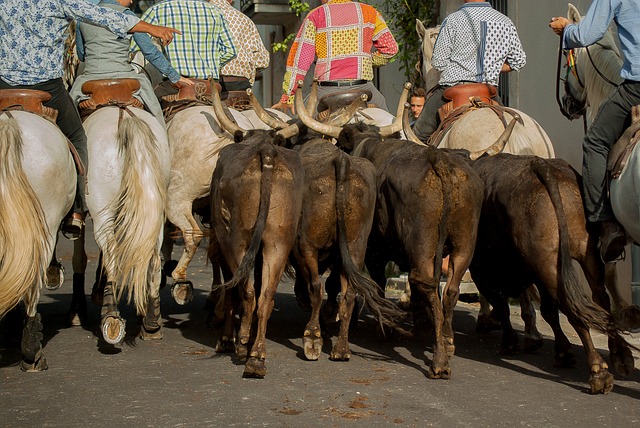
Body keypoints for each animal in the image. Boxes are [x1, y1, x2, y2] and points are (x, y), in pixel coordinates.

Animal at [84, 106, 170, 344]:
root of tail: (124, 118)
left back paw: (110, 315)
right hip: (155, 213)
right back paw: (151, 322)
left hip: (101, 212)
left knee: (111, 251)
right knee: (152, 255)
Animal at [208, 130, 302, 378]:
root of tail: (266, 150)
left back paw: (243, 346)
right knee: (266, 296)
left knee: (247, 292)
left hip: (236, 240)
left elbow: (232, 293)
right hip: (278, 241)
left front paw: (227, 339)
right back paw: (257, 356)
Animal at [470, 154, 636, 394]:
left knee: (574, 308)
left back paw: (599, 371)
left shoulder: (482, 269)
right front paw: (562, 351)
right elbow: (546, 310)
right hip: (583, 255)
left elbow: (502, 304)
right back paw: (621, 356)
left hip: (547, 264)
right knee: (599, 300)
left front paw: (509, 341)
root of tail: (541, 164)